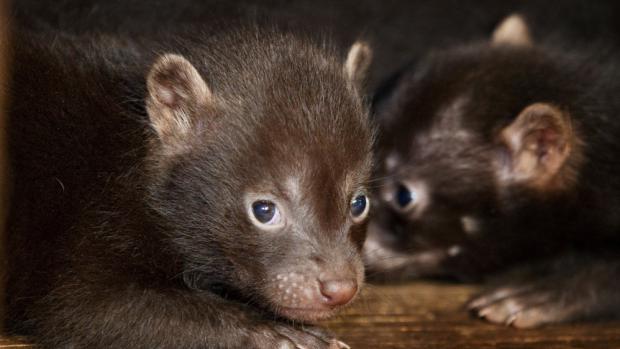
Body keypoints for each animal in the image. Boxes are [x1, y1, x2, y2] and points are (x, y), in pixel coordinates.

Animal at [6, 29, 372, 346]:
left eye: (359, 203)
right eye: (264, 210)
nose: (340, 288)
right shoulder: (93, 221)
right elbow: (86, 307)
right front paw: (277, 334)